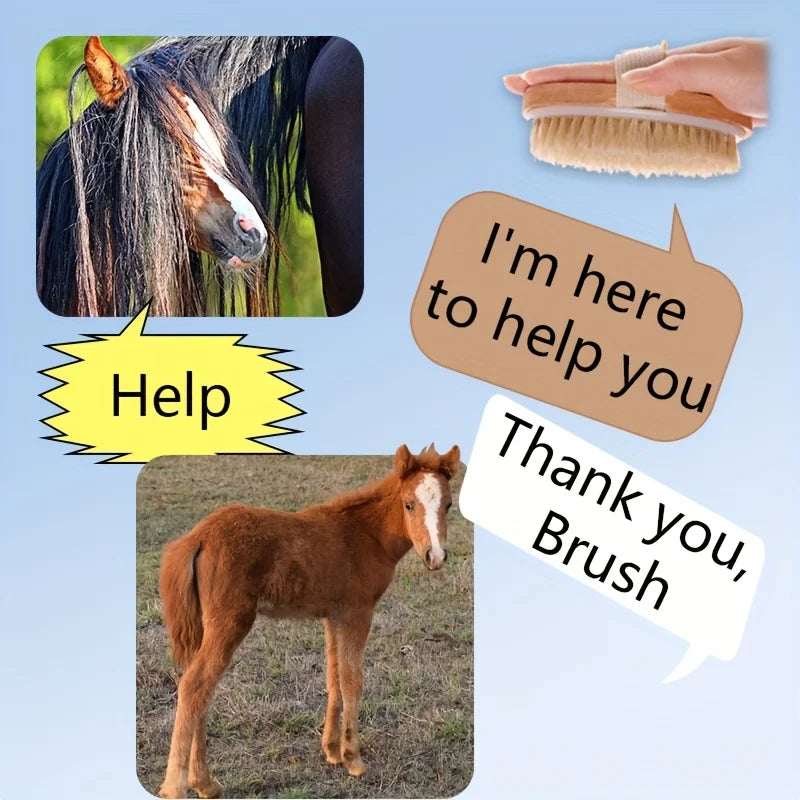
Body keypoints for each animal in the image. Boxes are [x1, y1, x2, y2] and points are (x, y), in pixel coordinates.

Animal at [157, 443, 461, 799]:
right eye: (408, 504)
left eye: (449, 504)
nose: (434, 557)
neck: (366, 534)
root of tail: (199, 536)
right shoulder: (358, 613)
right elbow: (353, 680)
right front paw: (353, 760)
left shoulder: (333, 616)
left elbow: (333, 678)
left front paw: (331, 751)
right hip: (229, 624)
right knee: (194, 686)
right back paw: (179, 786)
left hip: (205, 626)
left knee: (197, 690)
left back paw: (204, 782)